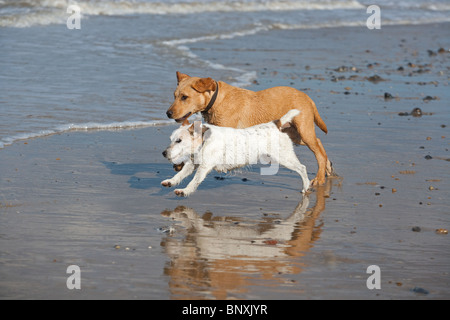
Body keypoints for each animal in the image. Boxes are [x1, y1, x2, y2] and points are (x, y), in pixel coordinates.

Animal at [161, 109, 310, 196]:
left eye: (179, 141)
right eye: (171, 139)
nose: (164, 153)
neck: (204, 140)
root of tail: (276, 124)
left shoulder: (204, 167)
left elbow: (194, 181)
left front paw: (185, 190)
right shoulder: (192, 164)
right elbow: (180, 175)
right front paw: (170, 182)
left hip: (284, 157)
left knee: (302, 168)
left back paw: (306, 186)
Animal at [166, 70, 334, 185]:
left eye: (184, 97)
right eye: (174, 96)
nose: (168, 113)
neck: (216, 100)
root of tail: (307, 97)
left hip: (303, 130)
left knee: (318, 151)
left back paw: (319, 178)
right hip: (294, 134)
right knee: (319, 143)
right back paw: (327, 168)